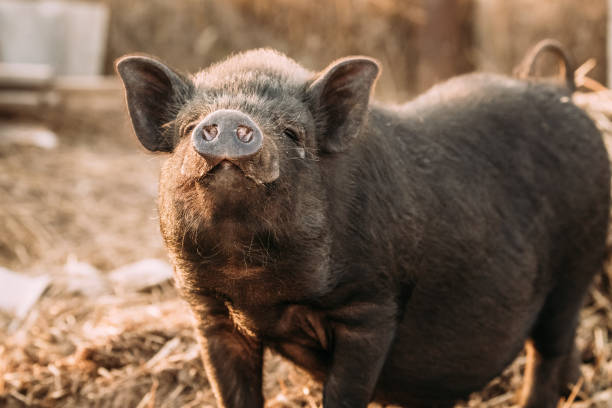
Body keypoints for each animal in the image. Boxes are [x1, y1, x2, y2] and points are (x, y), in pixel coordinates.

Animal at [117, 42, 608, 408]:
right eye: (188, 128)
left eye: (293, 133)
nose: (231, 118)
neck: (257, 289)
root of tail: (565, 92)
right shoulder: (210, 313)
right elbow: (233, 393)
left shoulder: (371, 306)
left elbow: (345, 393)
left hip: (577, 263)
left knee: (547, 350)